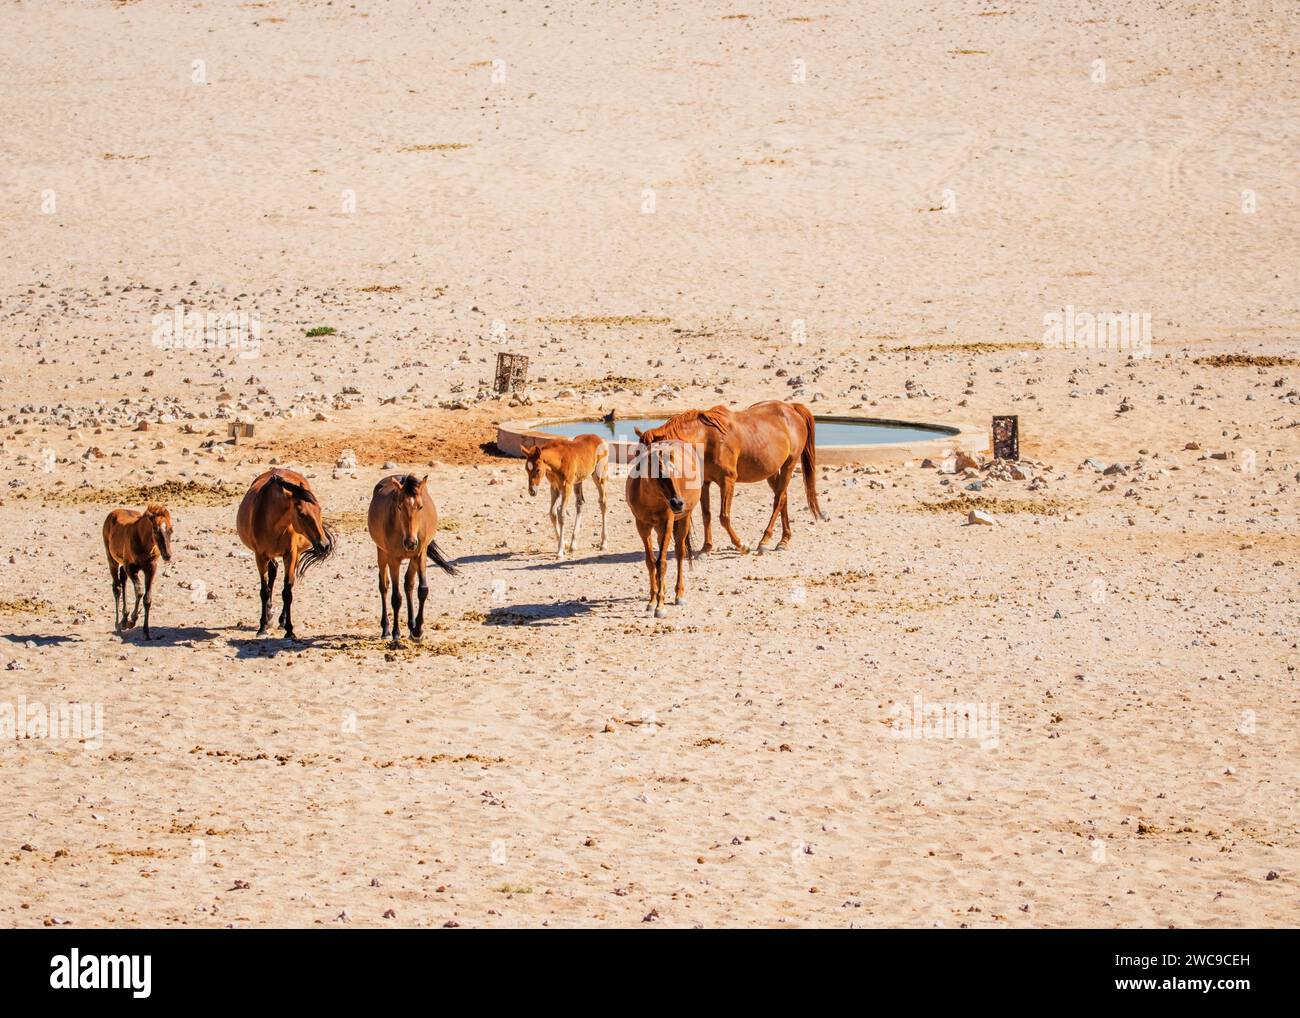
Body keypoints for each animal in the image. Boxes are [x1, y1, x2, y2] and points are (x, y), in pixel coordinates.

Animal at [103, 504, 175, 642]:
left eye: (171, 530)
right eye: (156, 530)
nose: (167, 555)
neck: (143, 543)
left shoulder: (151, 568)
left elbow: (147, 598)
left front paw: (146, 632)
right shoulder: (131, 568)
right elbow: (139, 592)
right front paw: (132, 620)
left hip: (122, 565)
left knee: (123, 580)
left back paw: (124, 618)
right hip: (112, 559)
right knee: (117, 587)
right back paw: (118, 624)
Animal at [236, 468, 335, 642]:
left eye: (319, 509)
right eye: (301, 513)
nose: (324, 545)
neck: (273, 523)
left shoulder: (291, 555)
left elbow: (287, 592)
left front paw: (289, 629)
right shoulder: (260, 556)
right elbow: (264, 591)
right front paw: (262, 626)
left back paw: (281, 621)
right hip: (269, 556)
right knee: (273, 572)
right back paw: (269, 615)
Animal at [369, 473, 460, 642]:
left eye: (421, 506)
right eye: (399, 506)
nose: (411, 543)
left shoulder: (420, 555)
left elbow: (422, 589)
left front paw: (417, 630)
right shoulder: (393, 559)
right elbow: (396, 597)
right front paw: (396, 633)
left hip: (412, 559)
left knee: (408, 584)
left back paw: (411, 625)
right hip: (381, 553)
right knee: (384, 585)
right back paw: (386, 628)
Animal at [621, 439, 702, 621]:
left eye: (675, 472)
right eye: (658, 474)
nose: (678, 503)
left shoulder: (667, 524)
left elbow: (662, 563)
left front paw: (660, 606)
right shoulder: (642, 526)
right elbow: (651, 562)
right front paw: (652, 601)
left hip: (683, 519)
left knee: (679, 553)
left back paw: (679, 595)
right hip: (657, 528)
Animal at [634, 400, 826, 556]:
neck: (707, 438)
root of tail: (791, 408)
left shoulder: (728, 481)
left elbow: (724, 516)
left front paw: (741, 546)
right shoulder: (705, 483)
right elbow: (706, 515)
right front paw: (706, 548)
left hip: (789, 465)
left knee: (778, 501)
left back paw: (764, 541)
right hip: (771, 472)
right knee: (783, 498)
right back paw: (784, 540)